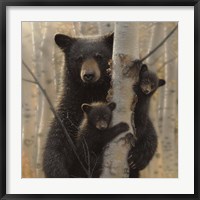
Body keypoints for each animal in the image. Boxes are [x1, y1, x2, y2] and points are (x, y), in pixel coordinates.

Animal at [42, 33, 113, 178]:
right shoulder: (69, 111)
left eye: (99, 56)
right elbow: (56, 143)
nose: (89, 75)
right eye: (79, 58)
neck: (92, 92)